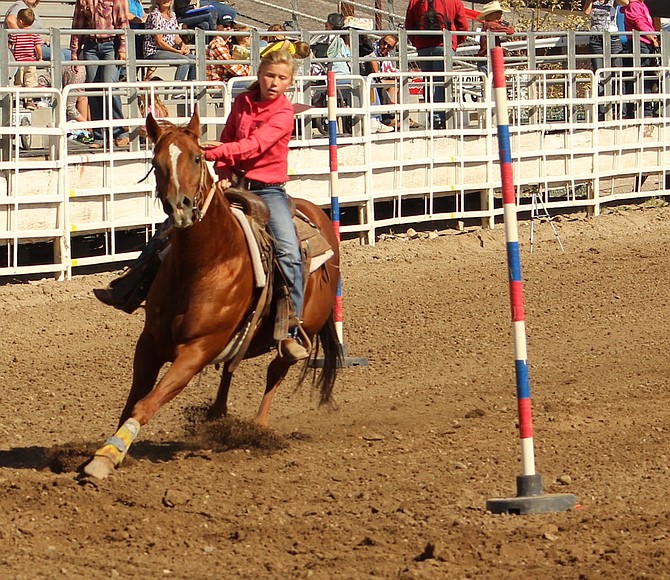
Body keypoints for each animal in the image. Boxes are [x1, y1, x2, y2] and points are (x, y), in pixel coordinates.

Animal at [84, 109, 344, 480]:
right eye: (156, 162)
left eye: (197, 157)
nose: (180, 207)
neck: (205, 260)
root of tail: (320, 216)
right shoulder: (150, 342)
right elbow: (132, 401)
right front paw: (111, 451)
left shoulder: (196, 349)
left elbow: (147, 403)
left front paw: (107, 457)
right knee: (231, 367)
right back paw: (217, 415)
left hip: (302, 328)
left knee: (276, 370)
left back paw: (257, 427)